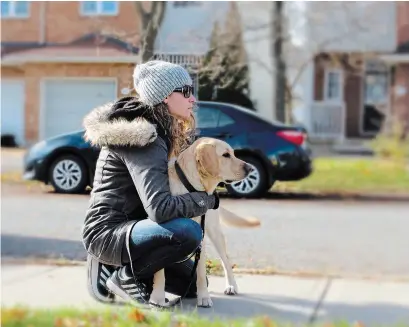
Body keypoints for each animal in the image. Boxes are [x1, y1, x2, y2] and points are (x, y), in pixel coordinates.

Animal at [148, 137, 260, 308]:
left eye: (233, 153)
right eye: (226, 155)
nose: (250, 168)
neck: (190, 190)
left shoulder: (201, 235)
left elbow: (200, 271)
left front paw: (204, 297)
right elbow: (159, 271)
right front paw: (157, 297)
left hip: (214, 233)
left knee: (226, 261)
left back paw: (231, 286)